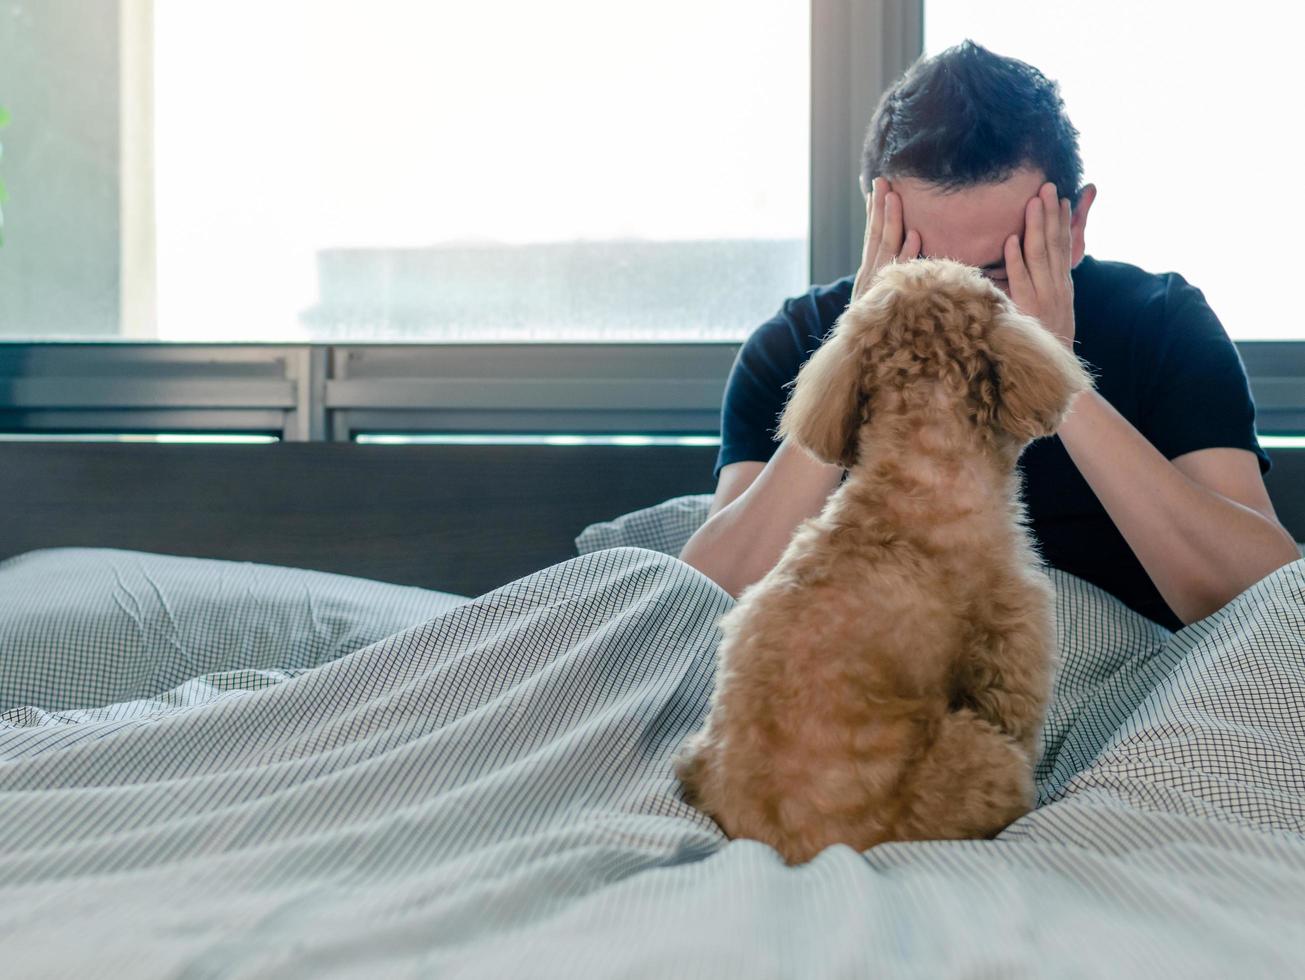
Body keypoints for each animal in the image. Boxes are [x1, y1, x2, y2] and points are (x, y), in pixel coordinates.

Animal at [673, 254, 1090, 866]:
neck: (921, 466)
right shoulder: (1011, 650)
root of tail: (780, 850)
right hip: (982, 760)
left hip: (693, 749)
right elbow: (1021, 718)